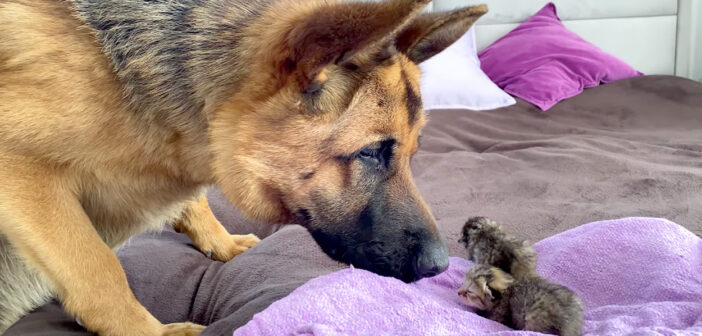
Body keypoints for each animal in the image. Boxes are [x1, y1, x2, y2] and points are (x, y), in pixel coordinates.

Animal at [0, 0, 484, 334]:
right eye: (370, 152)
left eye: (411, 153)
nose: (441, 268)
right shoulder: (23, 174)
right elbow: (97, 267)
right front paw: (148, 331)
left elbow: (194, 203)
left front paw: (223, 243)